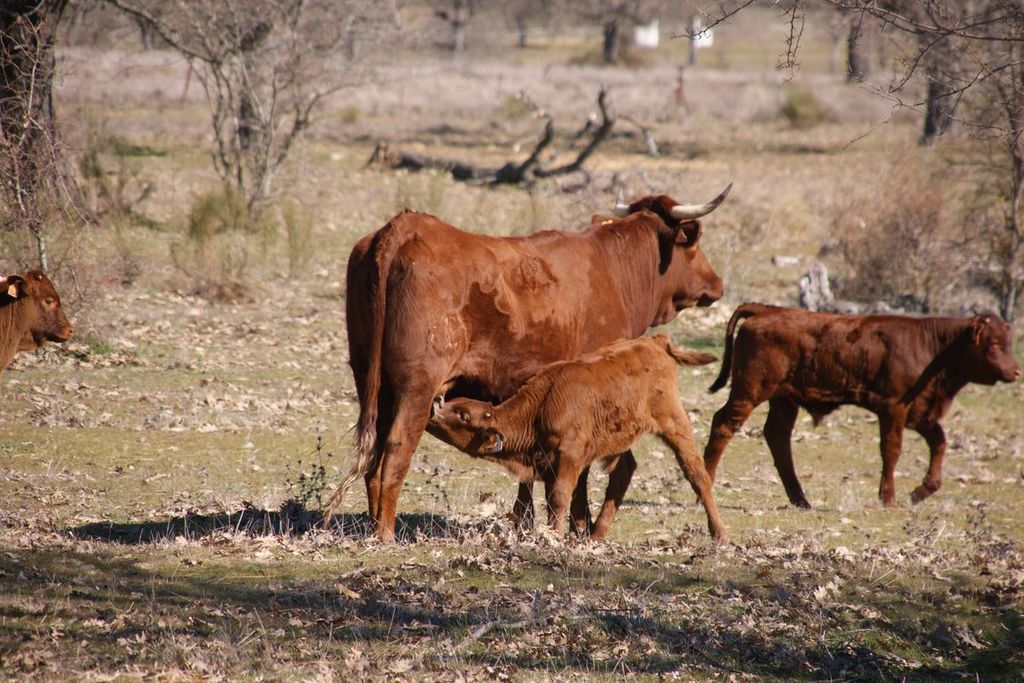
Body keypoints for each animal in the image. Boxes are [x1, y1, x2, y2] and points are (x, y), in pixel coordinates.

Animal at [425, 333, 729, 540]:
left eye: (462, 414)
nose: (435, 404)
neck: (543, 403)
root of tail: (652, 341)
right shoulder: (548, 462)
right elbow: (552, 500)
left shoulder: (569, 456)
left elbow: (560, 497)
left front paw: (553, 536)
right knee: (624, 471)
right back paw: (596, 535)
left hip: (674, 423)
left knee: (697, 474)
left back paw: (719, 534)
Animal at [708, 305, 1019, 507]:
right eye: (992, 344)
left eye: (1008, 342)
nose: (1015, 371)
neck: (934, 347)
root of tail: (764, 310)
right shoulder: (894, 409)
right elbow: (891, 450)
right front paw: (888, 497)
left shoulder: (921, 414)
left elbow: (939, 442)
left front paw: (920, 492)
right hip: (750, 392)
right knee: (723, 424)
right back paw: (707, 484)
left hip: (784, 400)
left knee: (778, 437)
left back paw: (801, 500)